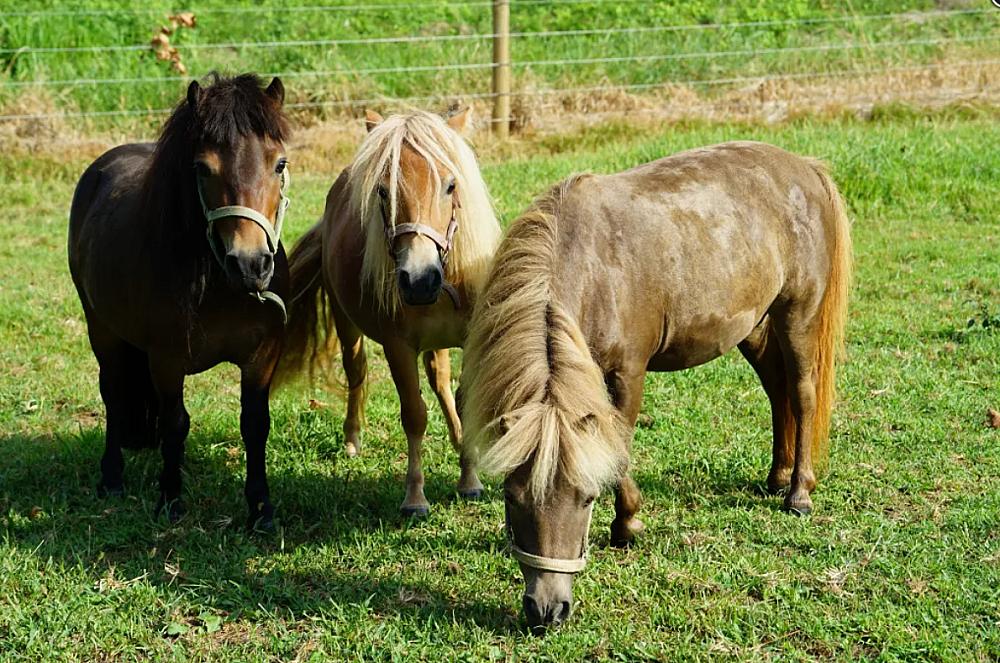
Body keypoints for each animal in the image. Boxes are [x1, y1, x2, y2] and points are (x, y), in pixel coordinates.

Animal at [68, 74, 291, 530]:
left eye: (279, 164)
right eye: (203, 168)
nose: (251, 263)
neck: (221, 284)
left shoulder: (261, 357)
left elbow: (255, 424)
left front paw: (260, 510)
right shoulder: (166, 360)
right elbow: (175, 424)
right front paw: (170, 499)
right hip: (102, 329)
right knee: (113, 393)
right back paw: (111, 479)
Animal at [276, 108, 501, 516]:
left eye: (451, 186)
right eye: (383, 191)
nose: (419, 279)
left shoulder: (470, 339)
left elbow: (463, 399)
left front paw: (469, 478)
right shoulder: (398, 348)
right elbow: (414, 414)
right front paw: (415, 498)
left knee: (439, 378)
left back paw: (458, 436)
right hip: (346, 323)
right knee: (356, 371)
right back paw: (352, 438)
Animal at [460, 141, 852, 629]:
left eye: (587, 499)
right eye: (512, 499)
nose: (547, 609)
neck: (594, 266)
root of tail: (808, 169)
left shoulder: (627, 373)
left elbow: (620, 447)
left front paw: (627, 525)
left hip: (798, 314)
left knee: (801, 395)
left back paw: (798, 492)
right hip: (755, 326)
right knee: (777, 392)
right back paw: (777, 477)